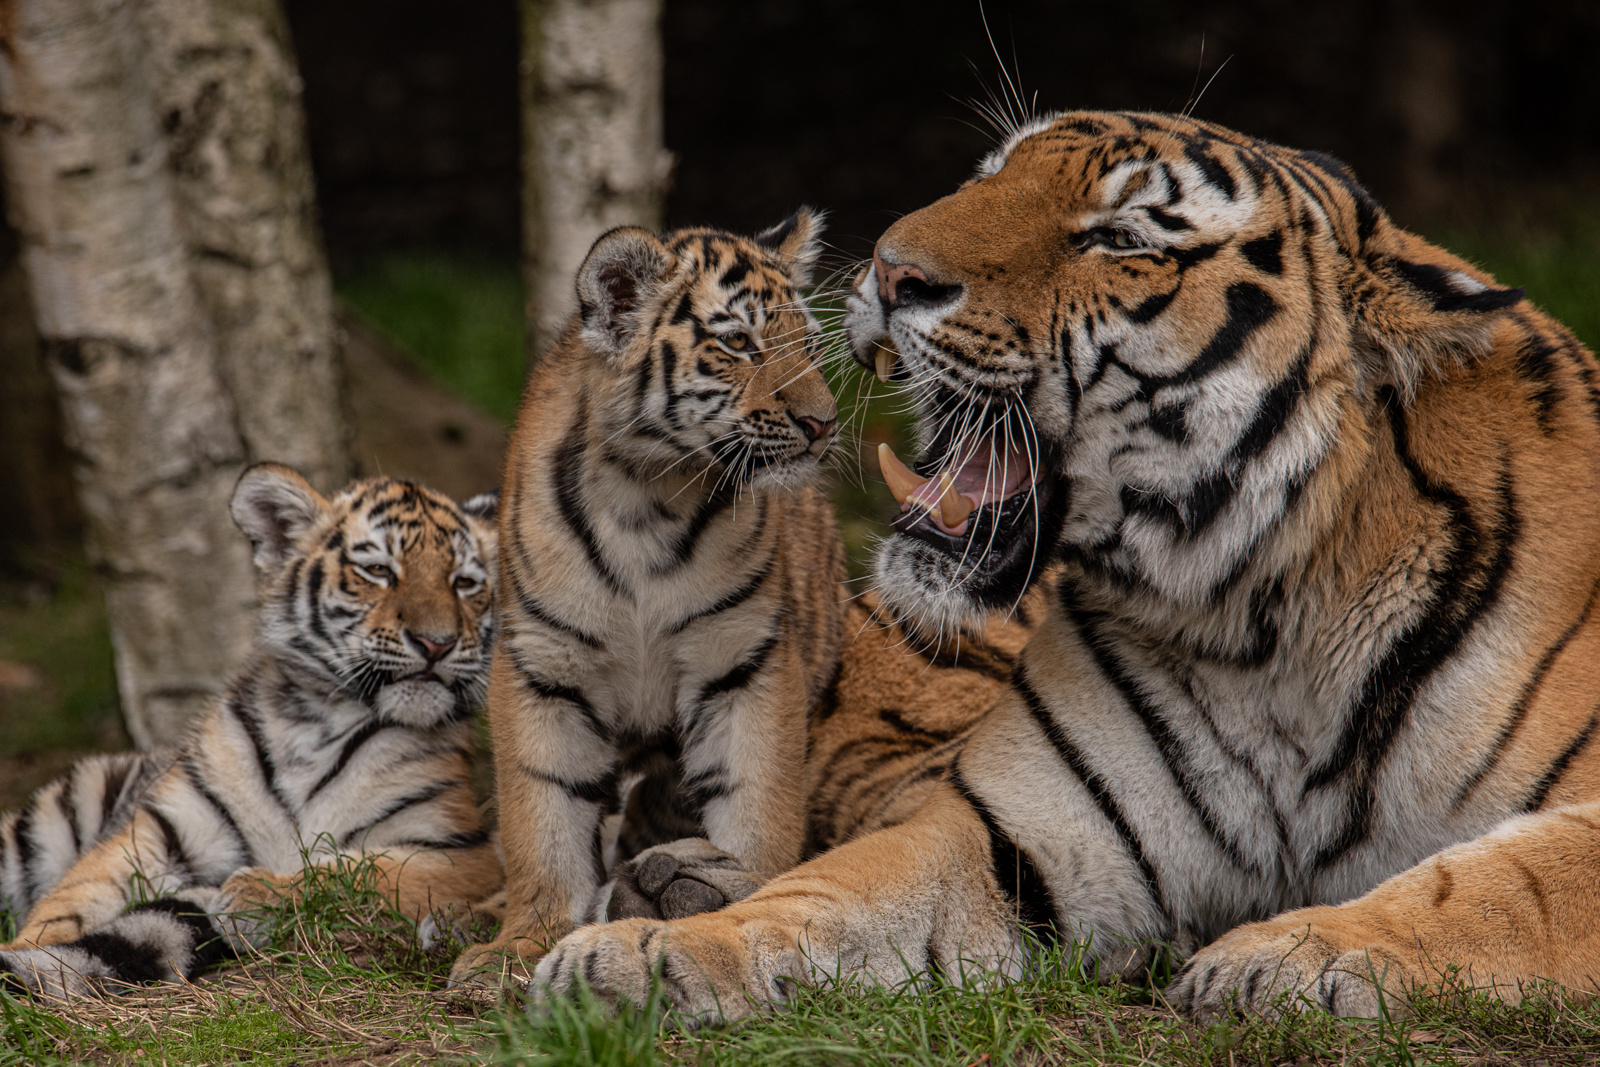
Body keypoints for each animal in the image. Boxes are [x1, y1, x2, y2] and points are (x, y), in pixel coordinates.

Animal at [0, 470, 499, 1004]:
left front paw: (254, 895)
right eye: (379, 571)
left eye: (465, 583)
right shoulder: (161, 832)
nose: (437, 643)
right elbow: (74, 895)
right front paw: (32, 954)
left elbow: (360, 870)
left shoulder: (459, 852)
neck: (319, 722)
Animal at [528, 112, 1600, 1023]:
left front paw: (1287, 956)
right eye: (992, 174)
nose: (887, 270)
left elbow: (1494, 884)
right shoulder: (1015, 829)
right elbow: (833, 887)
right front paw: (643, 959)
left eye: (1122, 238)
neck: (1267, 628)